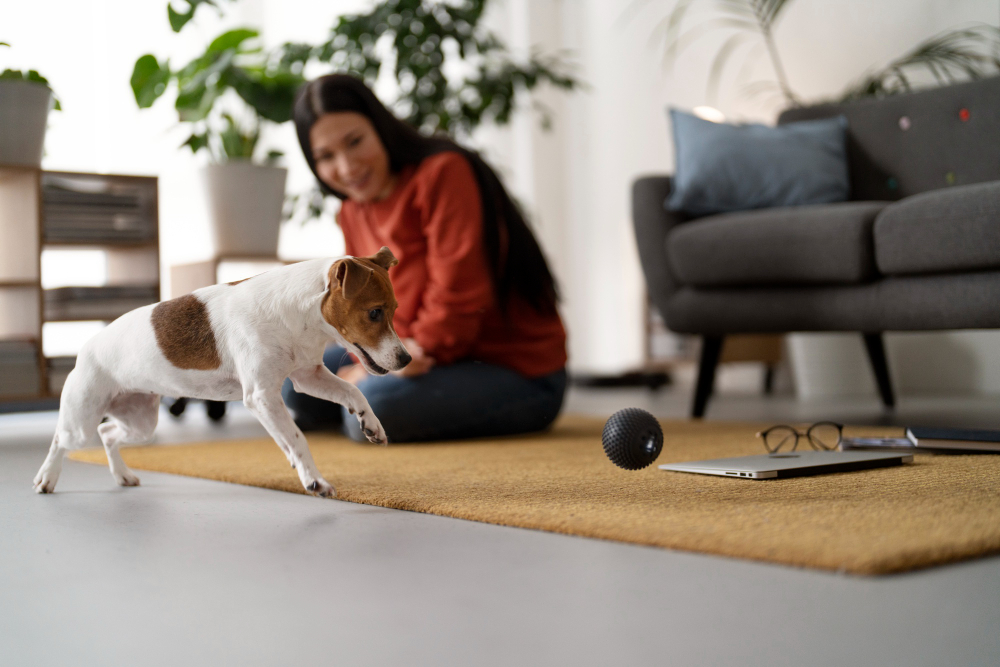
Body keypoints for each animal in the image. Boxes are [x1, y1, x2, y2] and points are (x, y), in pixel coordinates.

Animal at [34, 248, 410, 498]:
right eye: (374, 313)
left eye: (394, 310)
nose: (406, 358)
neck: (295, 312)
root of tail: (86, 346)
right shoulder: (262, 396)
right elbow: (297, 439)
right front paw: (313, 479)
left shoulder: (307, 376)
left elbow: (353, 393)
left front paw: (371, 423)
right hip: (82, 422)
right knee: (61, 439)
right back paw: (46, 478)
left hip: (140, 423)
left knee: (108, 434)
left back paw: (122, 475)